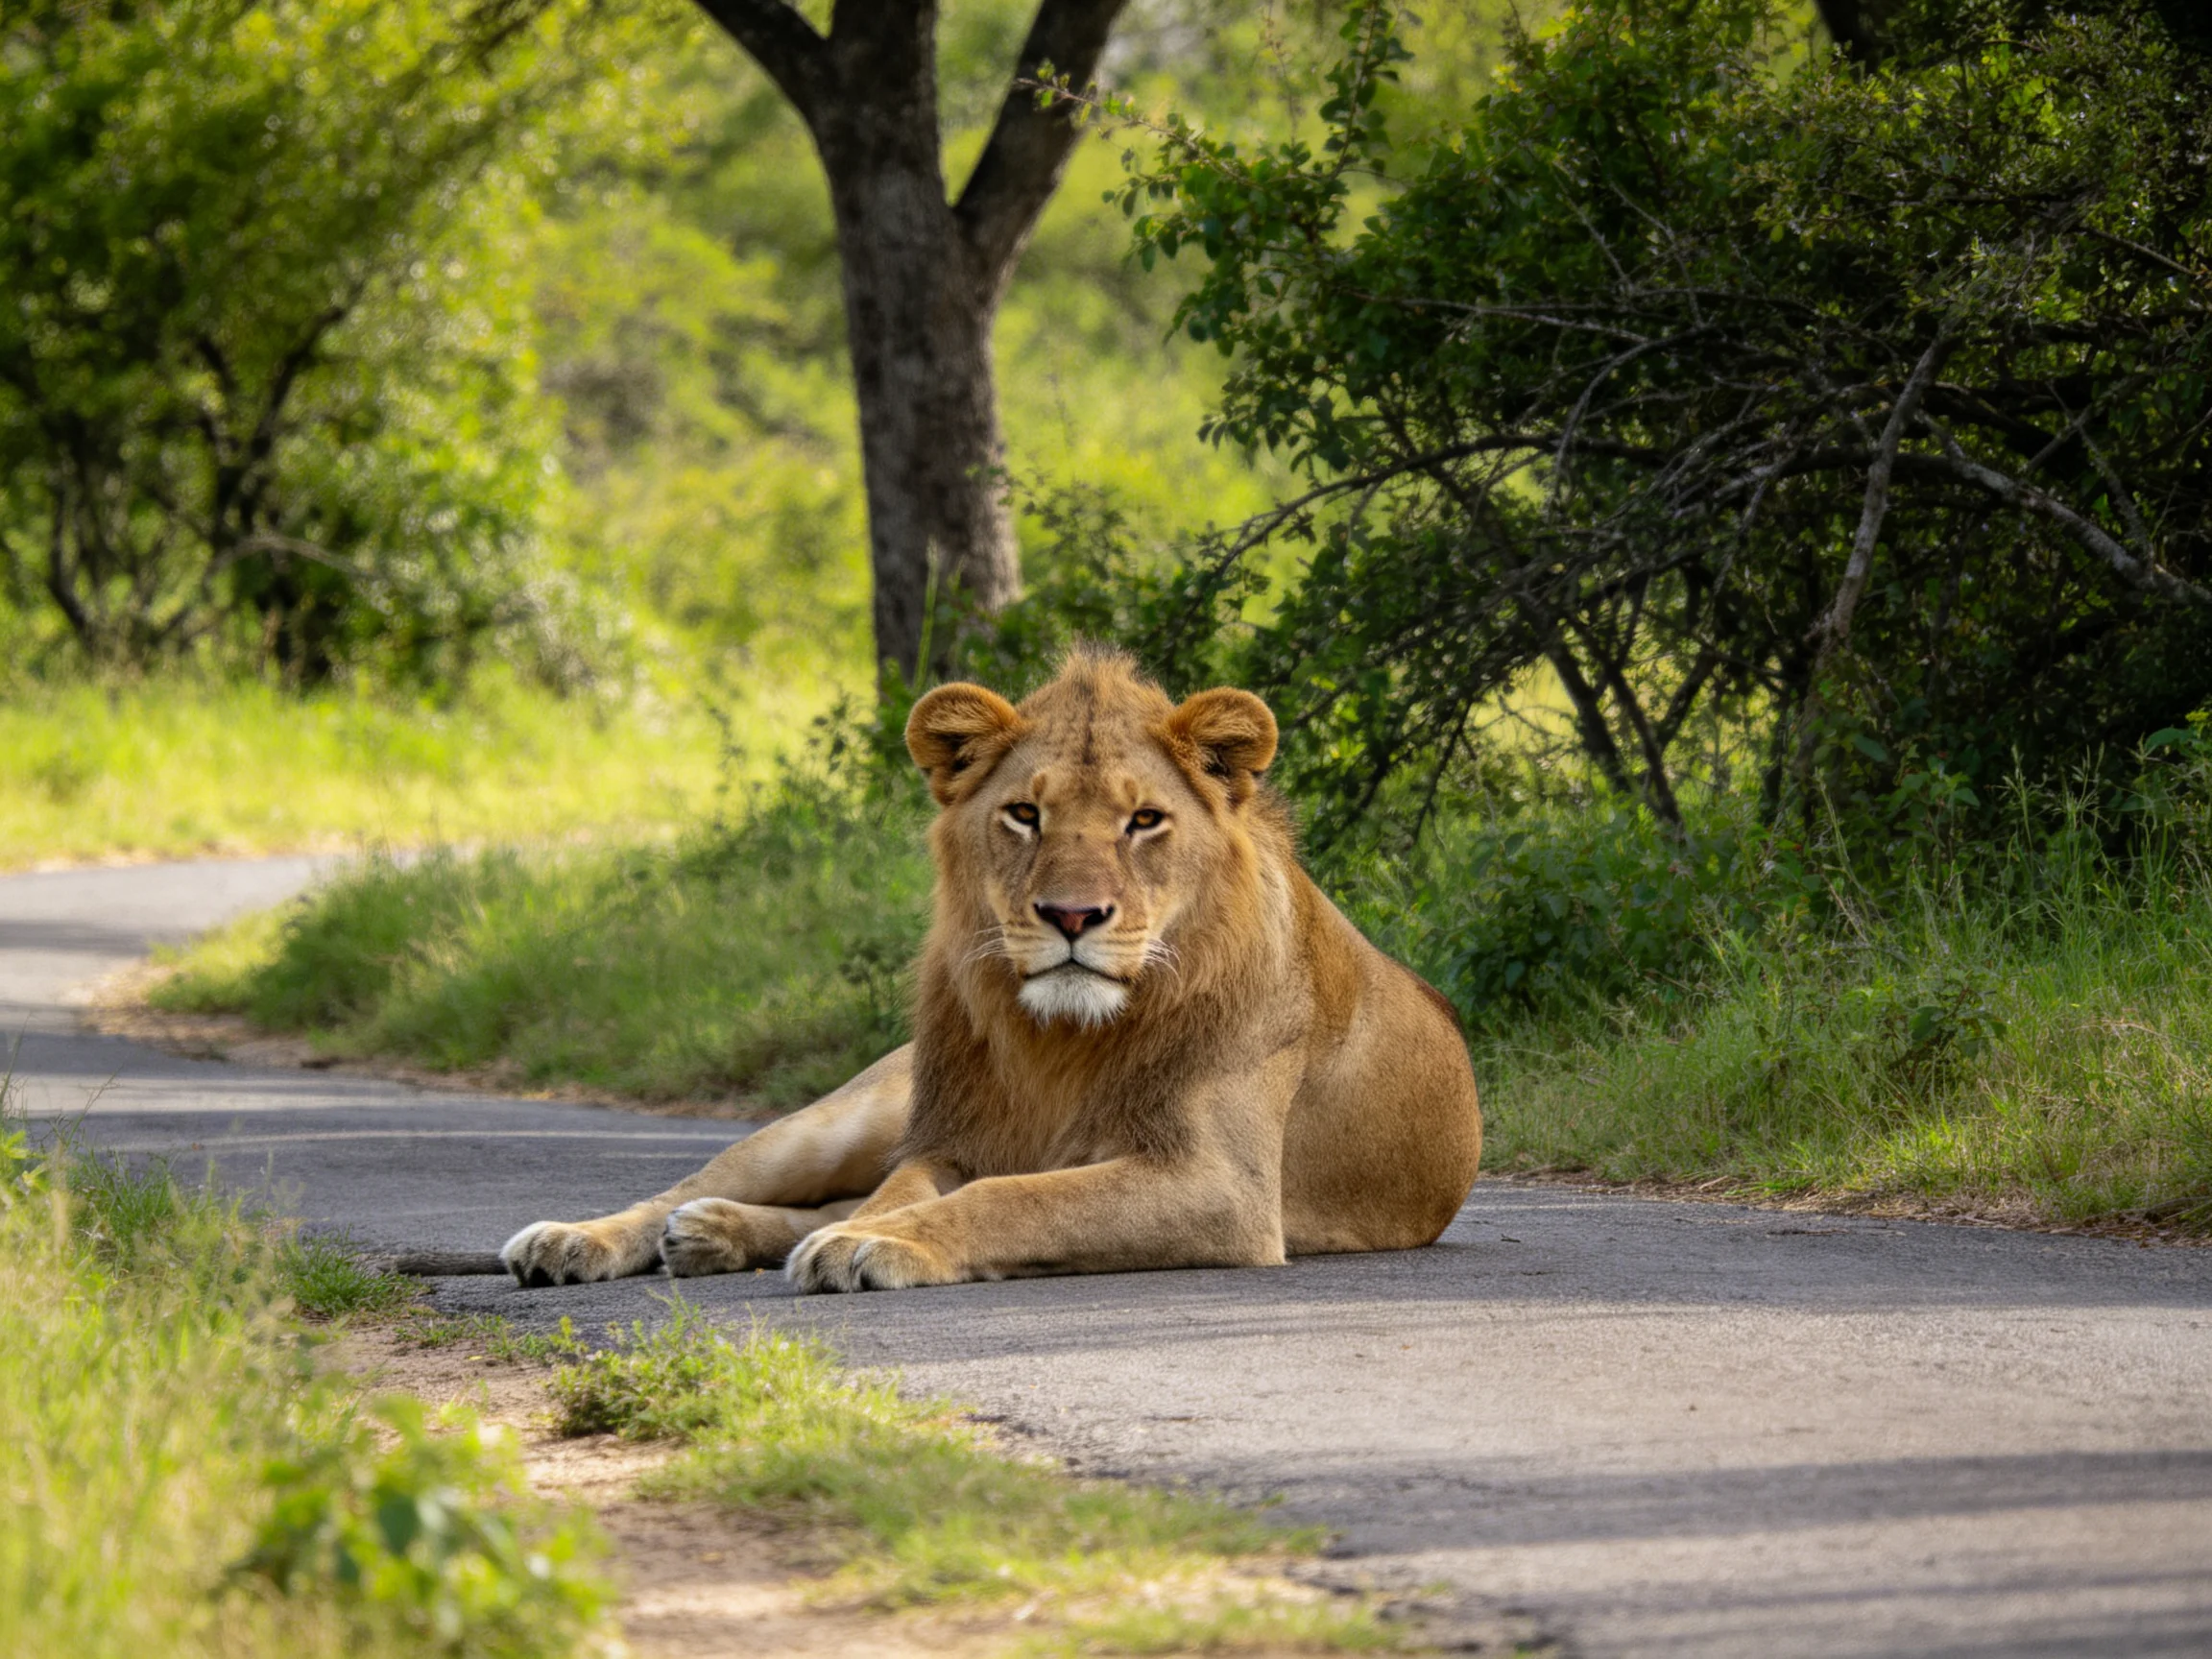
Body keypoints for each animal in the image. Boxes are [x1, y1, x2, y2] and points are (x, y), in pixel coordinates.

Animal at [499, 648, 1482, 1293]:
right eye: (1023, 814)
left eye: (1144, 821)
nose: (1072, 916)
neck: (1063, 1039)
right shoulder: (944, 1137)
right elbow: (912, 1190)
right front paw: (868, 1235)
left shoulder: (1223, 1187)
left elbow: (1015, 1198)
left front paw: (871, 1245)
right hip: (844, 1117)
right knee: (700, 1185)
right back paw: (586, 1239)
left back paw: (716, 1238)